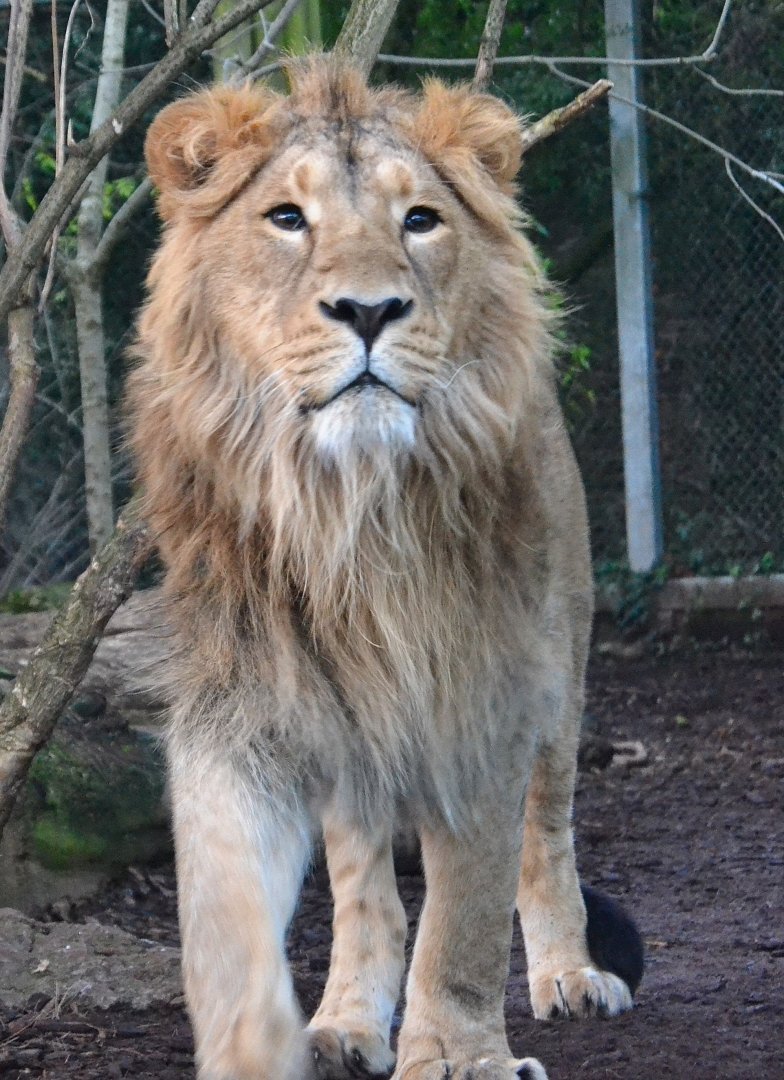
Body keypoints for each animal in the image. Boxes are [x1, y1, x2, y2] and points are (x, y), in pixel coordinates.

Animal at [128, 58, 643, 1080]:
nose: (368, 310)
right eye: (287, 217)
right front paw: (261, 1048)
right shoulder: (243, 698)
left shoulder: (484, 690)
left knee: (546, 833)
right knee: (365, 883)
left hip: (562, 670)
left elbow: (466, 916)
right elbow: (226, 914)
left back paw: (569, 971)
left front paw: (457, 1058)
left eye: (421, 220)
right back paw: (345, 1023)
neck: (351, 506)